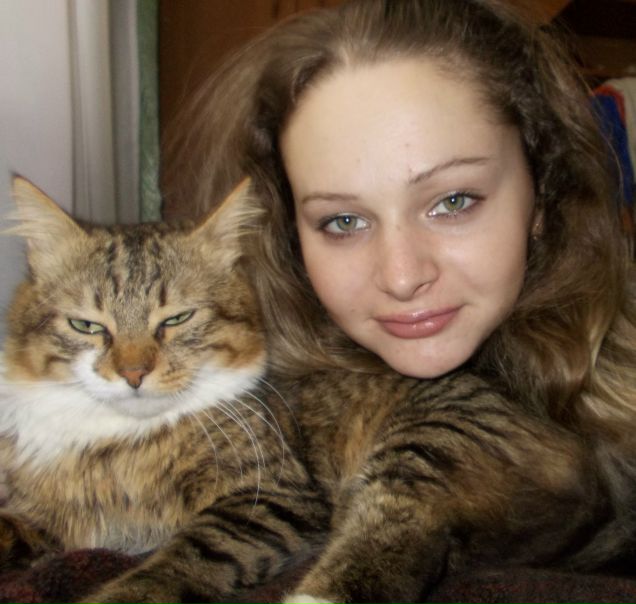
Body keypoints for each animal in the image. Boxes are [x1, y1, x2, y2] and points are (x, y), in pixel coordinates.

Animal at [0, 177, 616, 604]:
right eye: (87, 326)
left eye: (175, 320)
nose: (132, 373)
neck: (116, 444)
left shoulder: (271, 495)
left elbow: (182, 558)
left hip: (427, 443)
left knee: (397, 528)